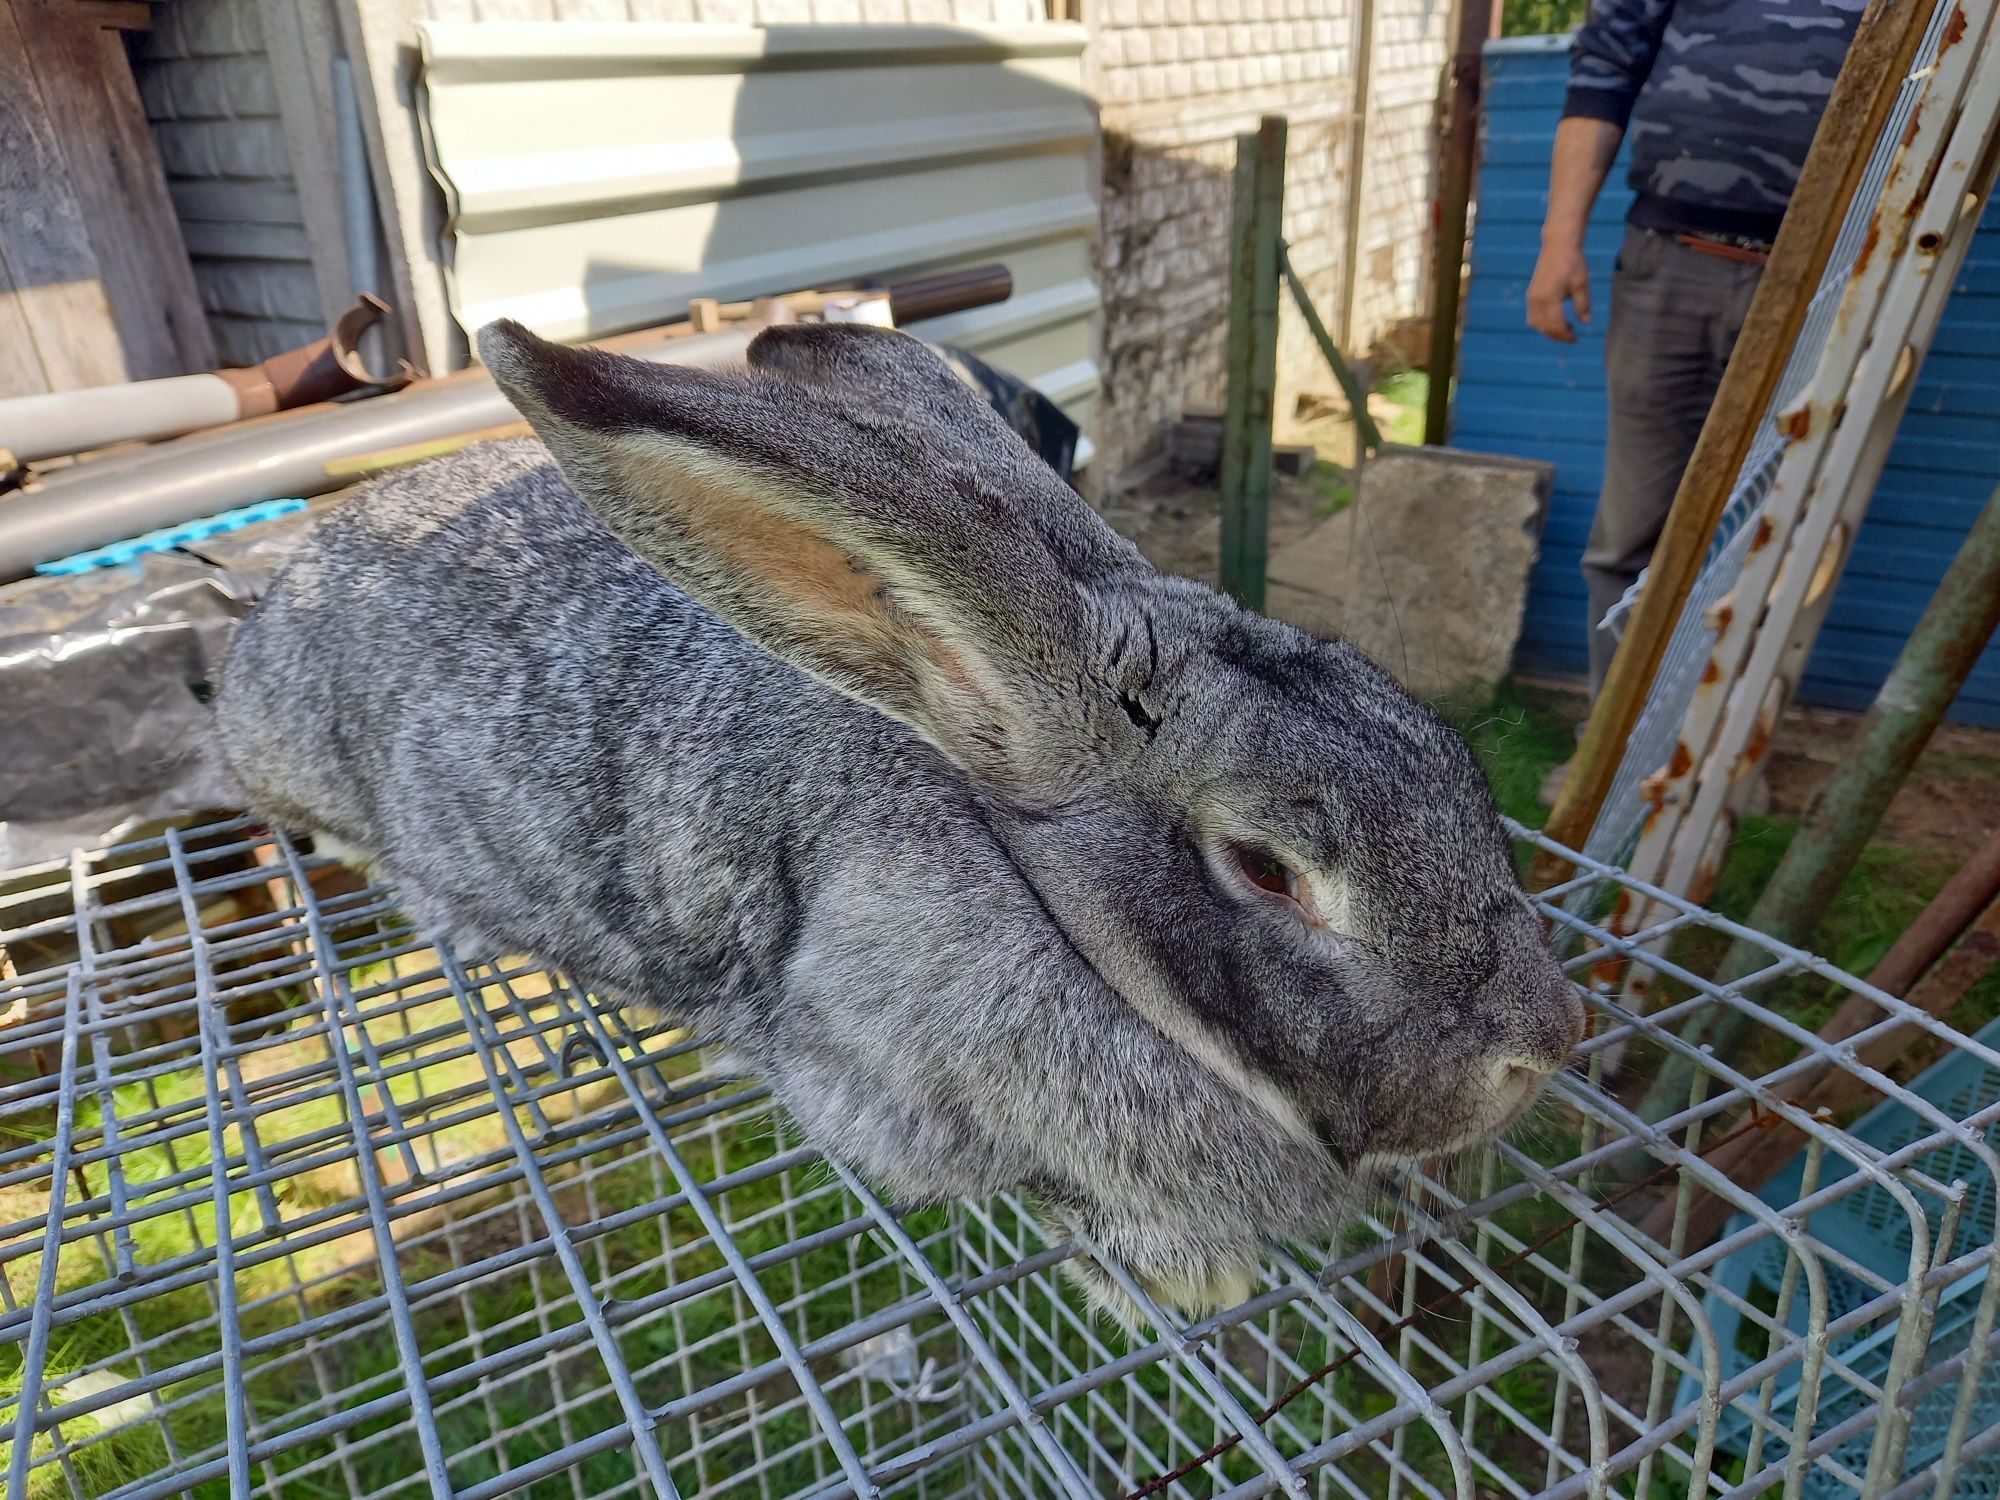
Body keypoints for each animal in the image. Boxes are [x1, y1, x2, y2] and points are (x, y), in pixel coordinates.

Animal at [219, 324, 1584, 1320]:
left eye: (1448, 763)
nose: (1544, 1043)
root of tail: (271, 597)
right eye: (1266, 869)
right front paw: (1181, 1280)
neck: (1040, 898)